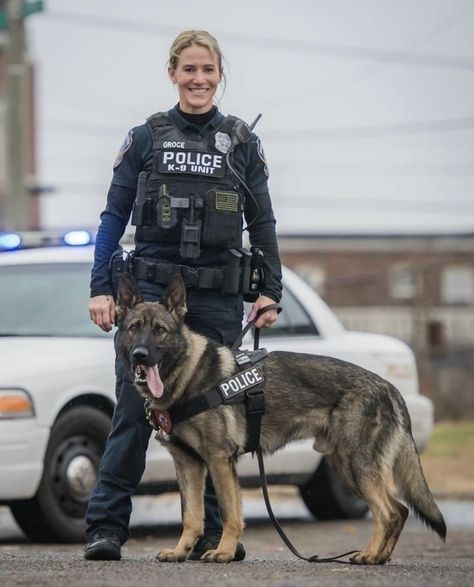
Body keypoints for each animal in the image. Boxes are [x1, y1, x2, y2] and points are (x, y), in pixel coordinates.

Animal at [116, 274, 446, 568]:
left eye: (160, 330)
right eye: (133, 328)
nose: (140, 355)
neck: (187, 376)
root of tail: (389, 387)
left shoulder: (219, 460)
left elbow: (229, 512)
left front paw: (224, 552)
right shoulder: (188, 464)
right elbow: (191, 516)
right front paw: (180, 552)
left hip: (356, 466)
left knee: (387, 512)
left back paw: (369, 555)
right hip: (345, 466)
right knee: (400, 510)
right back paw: (380, 556)